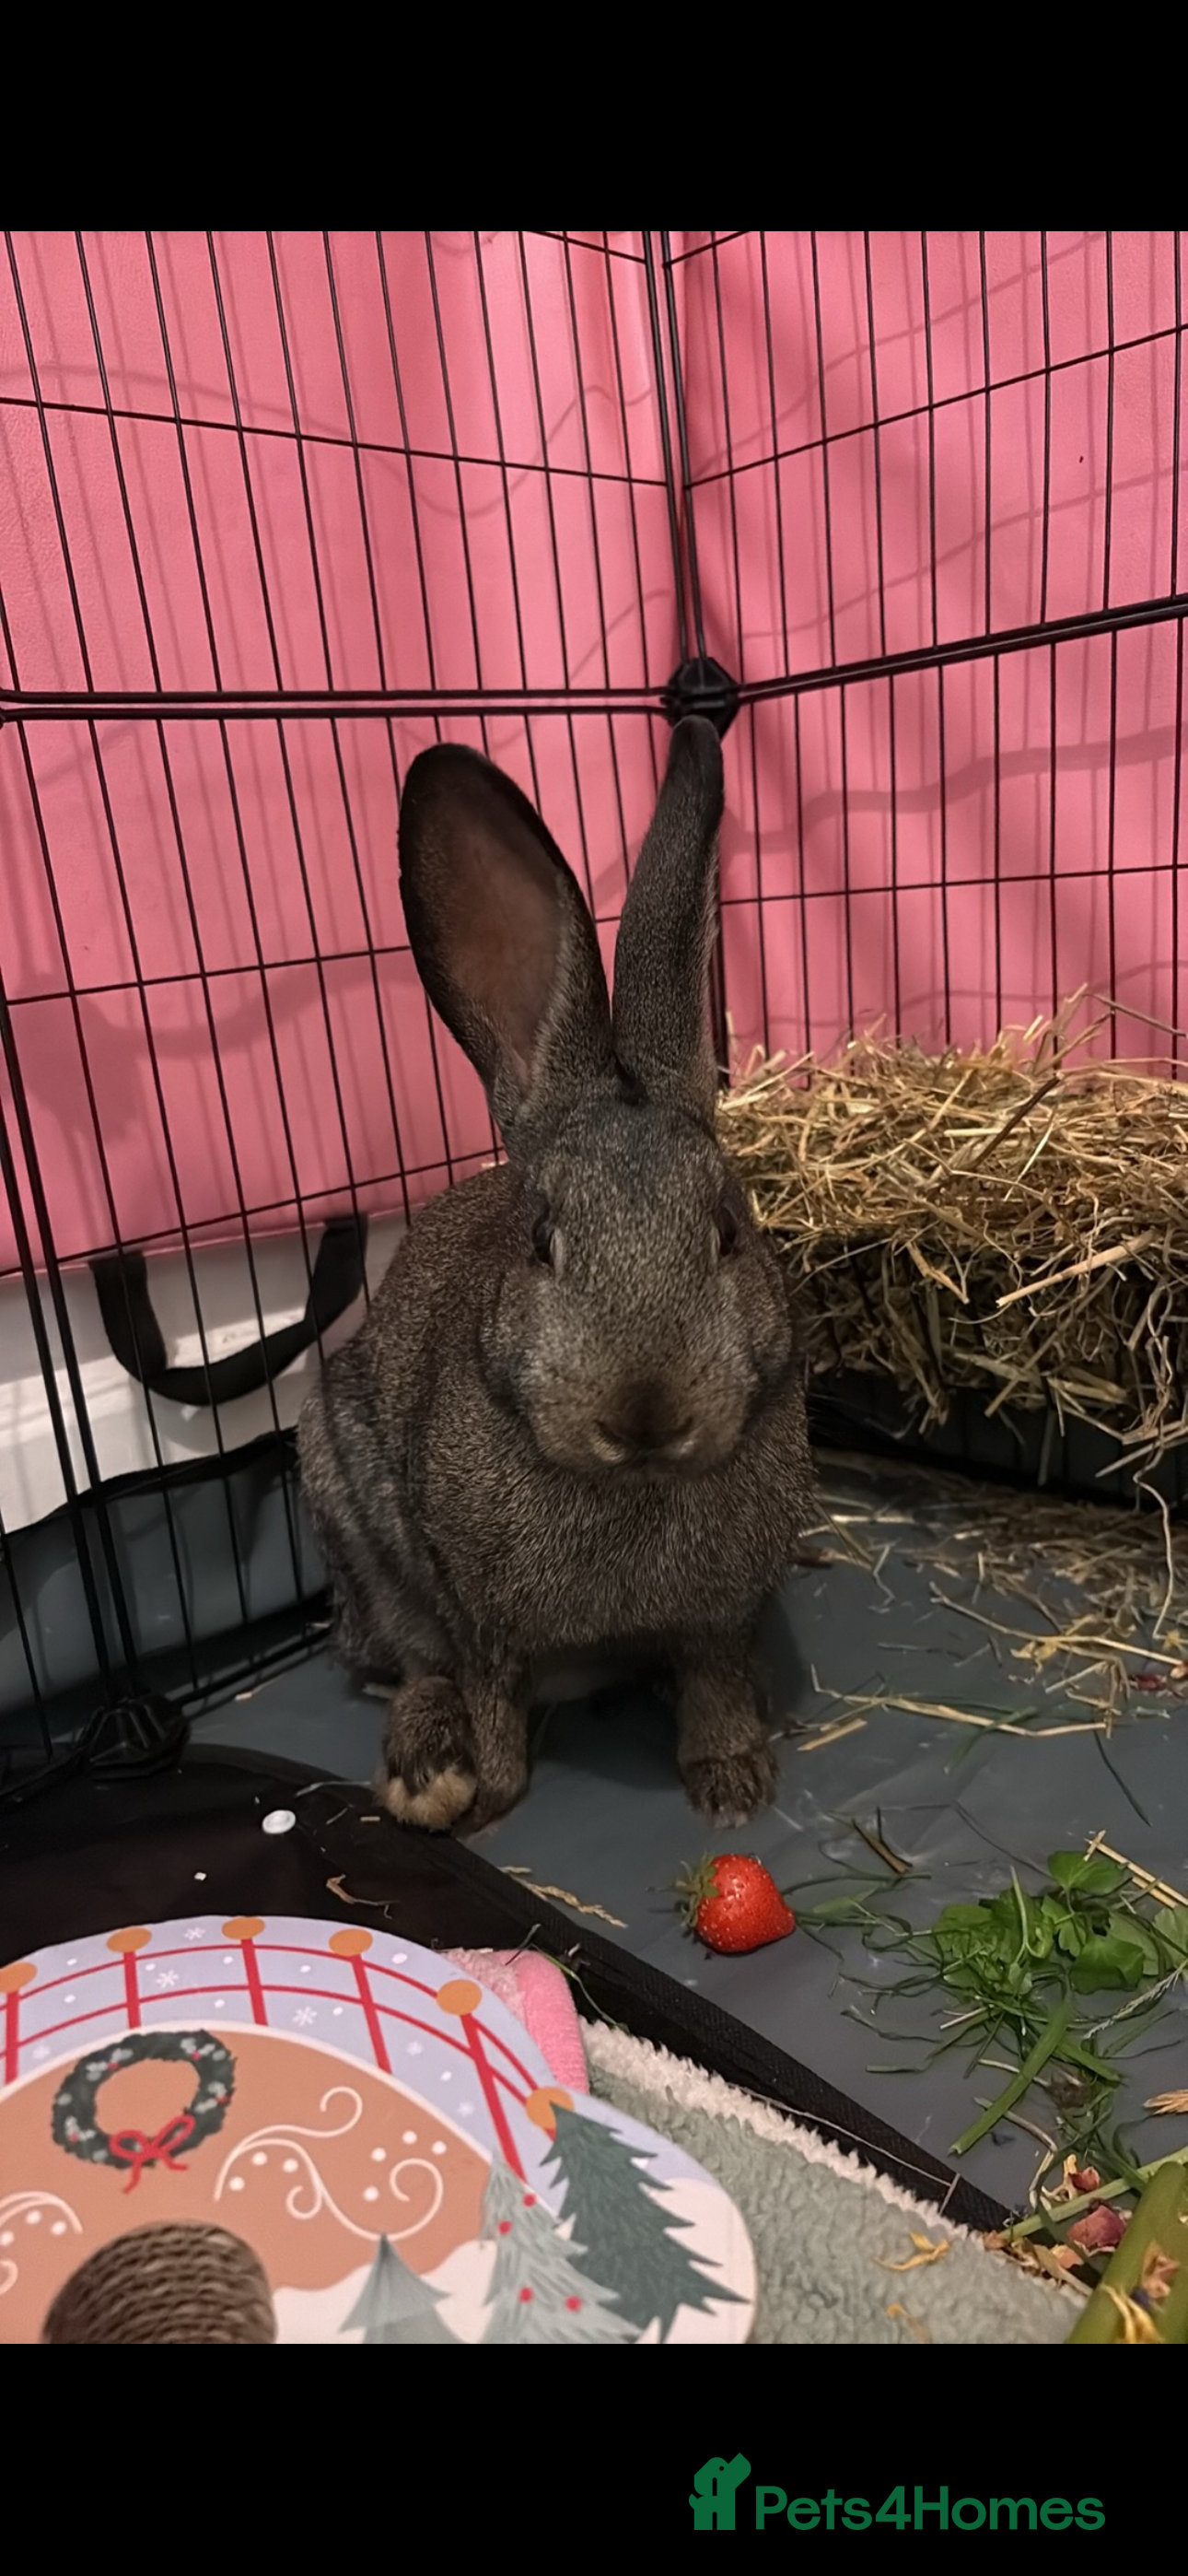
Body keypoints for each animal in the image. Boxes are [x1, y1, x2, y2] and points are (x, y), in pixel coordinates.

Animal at [297, 715, 814, 1834]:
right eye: (542, 1240)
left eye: (728, 1229)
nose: (647, 1413)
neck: (636, 1484)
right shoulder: (473, 1606)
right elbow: (488, 1686)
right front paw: (490, 1795)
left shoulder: (719, 1615)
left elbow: (713, 1677)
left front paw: (732, 1784)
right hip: (352, 1509)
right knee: (405, 1663)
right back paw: (428, 1767)